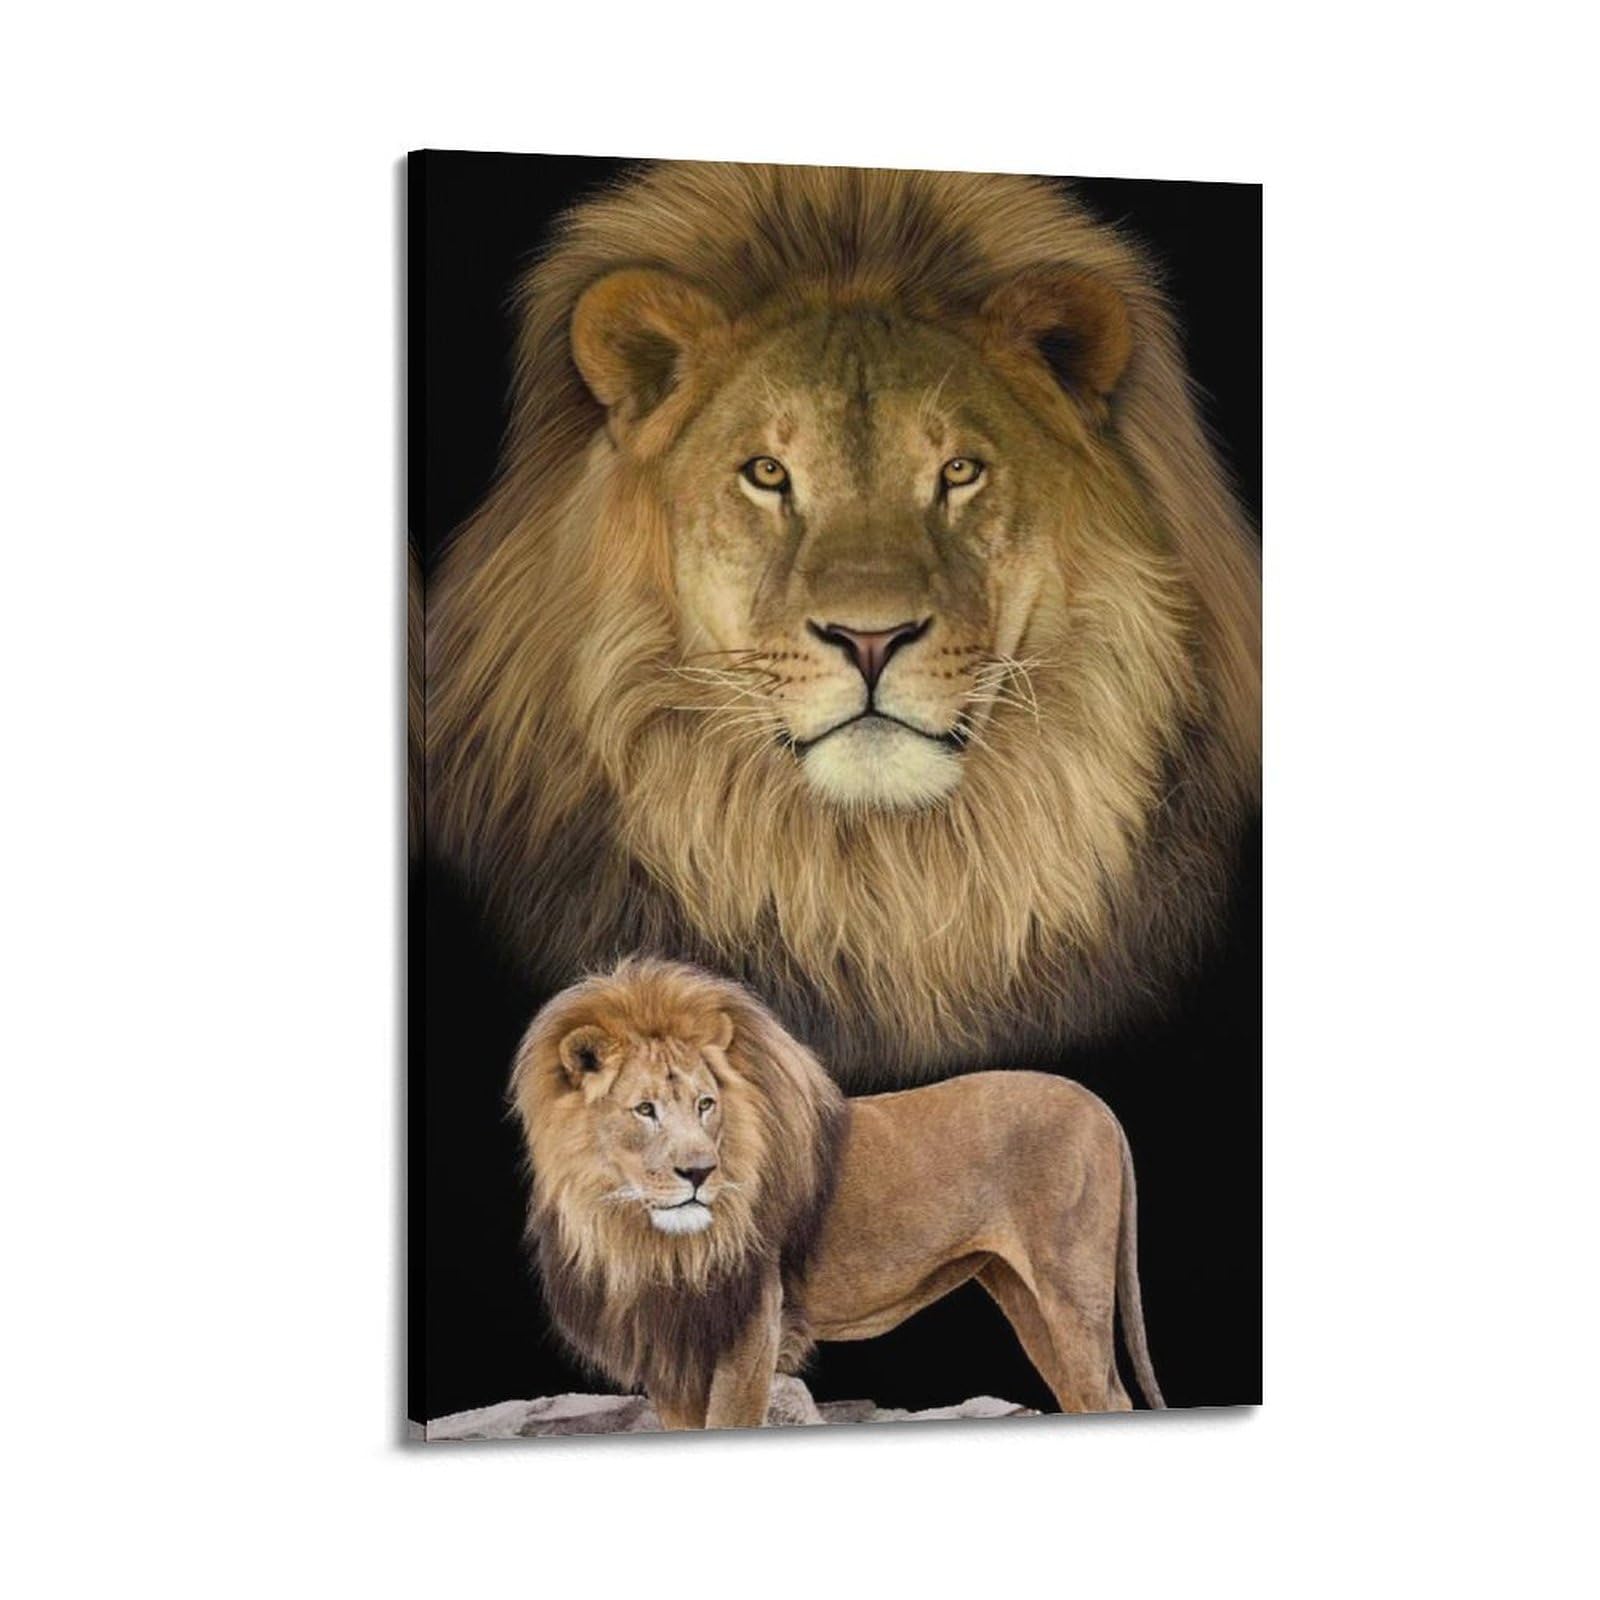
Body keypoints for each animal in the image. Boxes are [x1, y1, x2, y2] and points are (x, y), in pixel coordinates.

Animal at [511, 957, 1163, 1427]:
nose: (700, 1172)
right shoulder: (671, 1349)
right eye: (644, 1109)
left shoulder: (752, 1331)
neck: (645, 1237)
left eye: (705, 1104)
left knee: (1106, 1396)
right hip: (1022, 1293)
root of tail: (1100, 1105)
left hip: (1072, 1288)